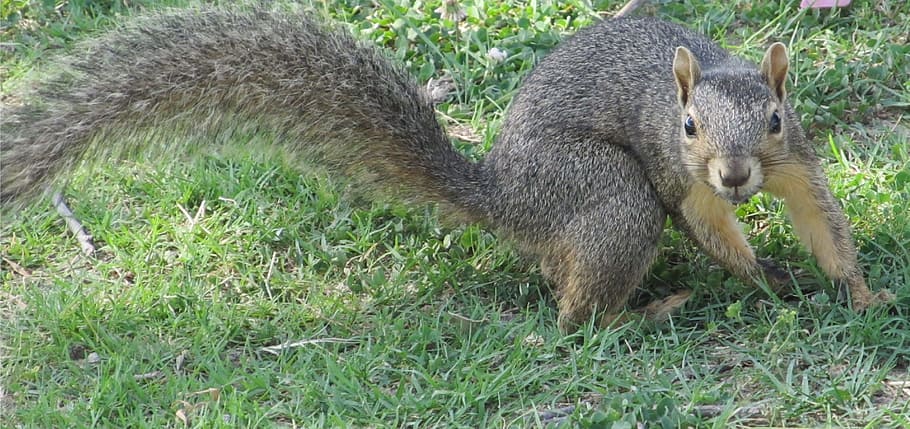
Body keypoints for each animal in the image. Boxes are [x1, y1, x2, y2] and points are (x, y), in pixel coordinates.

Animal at [0, 7, 893, 331]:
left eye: (773, 118)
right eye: (686, 126)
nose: (736, 176)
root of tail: (502, 197)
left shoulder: (797, 160)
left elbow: (823, 220)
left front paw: (861, 291)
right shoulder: (676, 177)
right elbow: (708, 225)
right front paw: (764, 273)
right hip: (607, 196)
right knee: (574, 316)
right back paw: (645, 311)